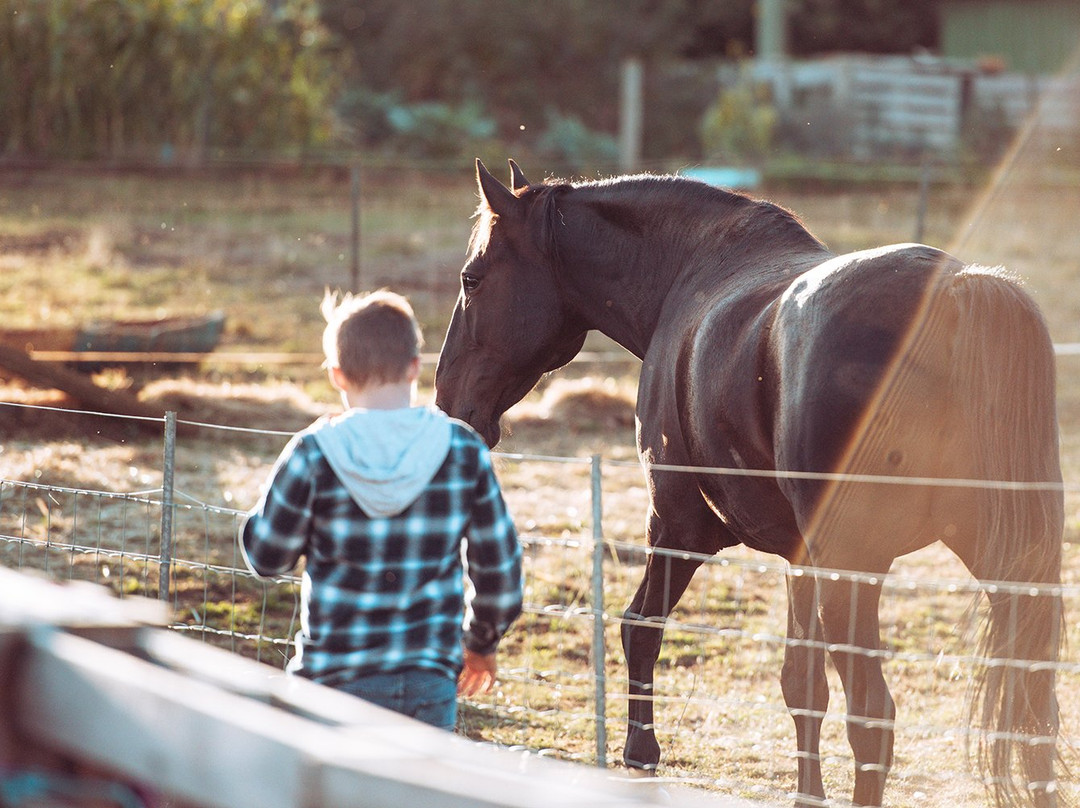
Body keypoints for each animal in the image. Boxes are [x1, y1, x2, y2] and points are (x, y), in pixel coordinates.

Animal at [432, 159, 1062, 808]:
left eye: (472, 279)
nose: (447, 401)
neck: (690, 275)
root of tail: (958, 292)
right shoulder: (800, 559)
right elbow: (802, 684)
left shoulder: (680, 527)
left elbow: (640, 627)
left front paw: (640, 754)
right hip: (1003, 563)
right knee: (1033, 711)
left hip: (856, 570)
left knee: (874, 718)